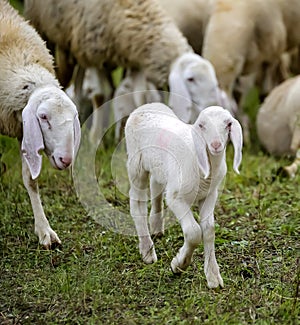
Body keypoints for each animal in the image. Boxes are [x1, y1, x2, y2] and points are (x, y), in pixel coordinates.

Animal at [0, 0, 81, 248]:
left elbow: (31, 180)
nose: (66, 160)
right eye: (43, 117)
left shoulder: (21, 130)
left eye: (74, 116)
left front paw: (45, 231)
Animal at [125, 102, 243, 288]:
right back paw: (147, 250)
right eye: (201, 125)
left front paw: (213, 276)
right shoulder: (176, 198)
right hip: (136, 164)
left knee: (156, 186)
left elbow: (208, 230)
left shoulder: (209, 195)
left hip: (160, 168)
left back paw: (156, 228)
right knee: (137, 203)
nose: (216, 145)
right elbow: (194, 232)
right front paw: (179, 265)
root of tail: (147, 105)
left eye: (228, 124)